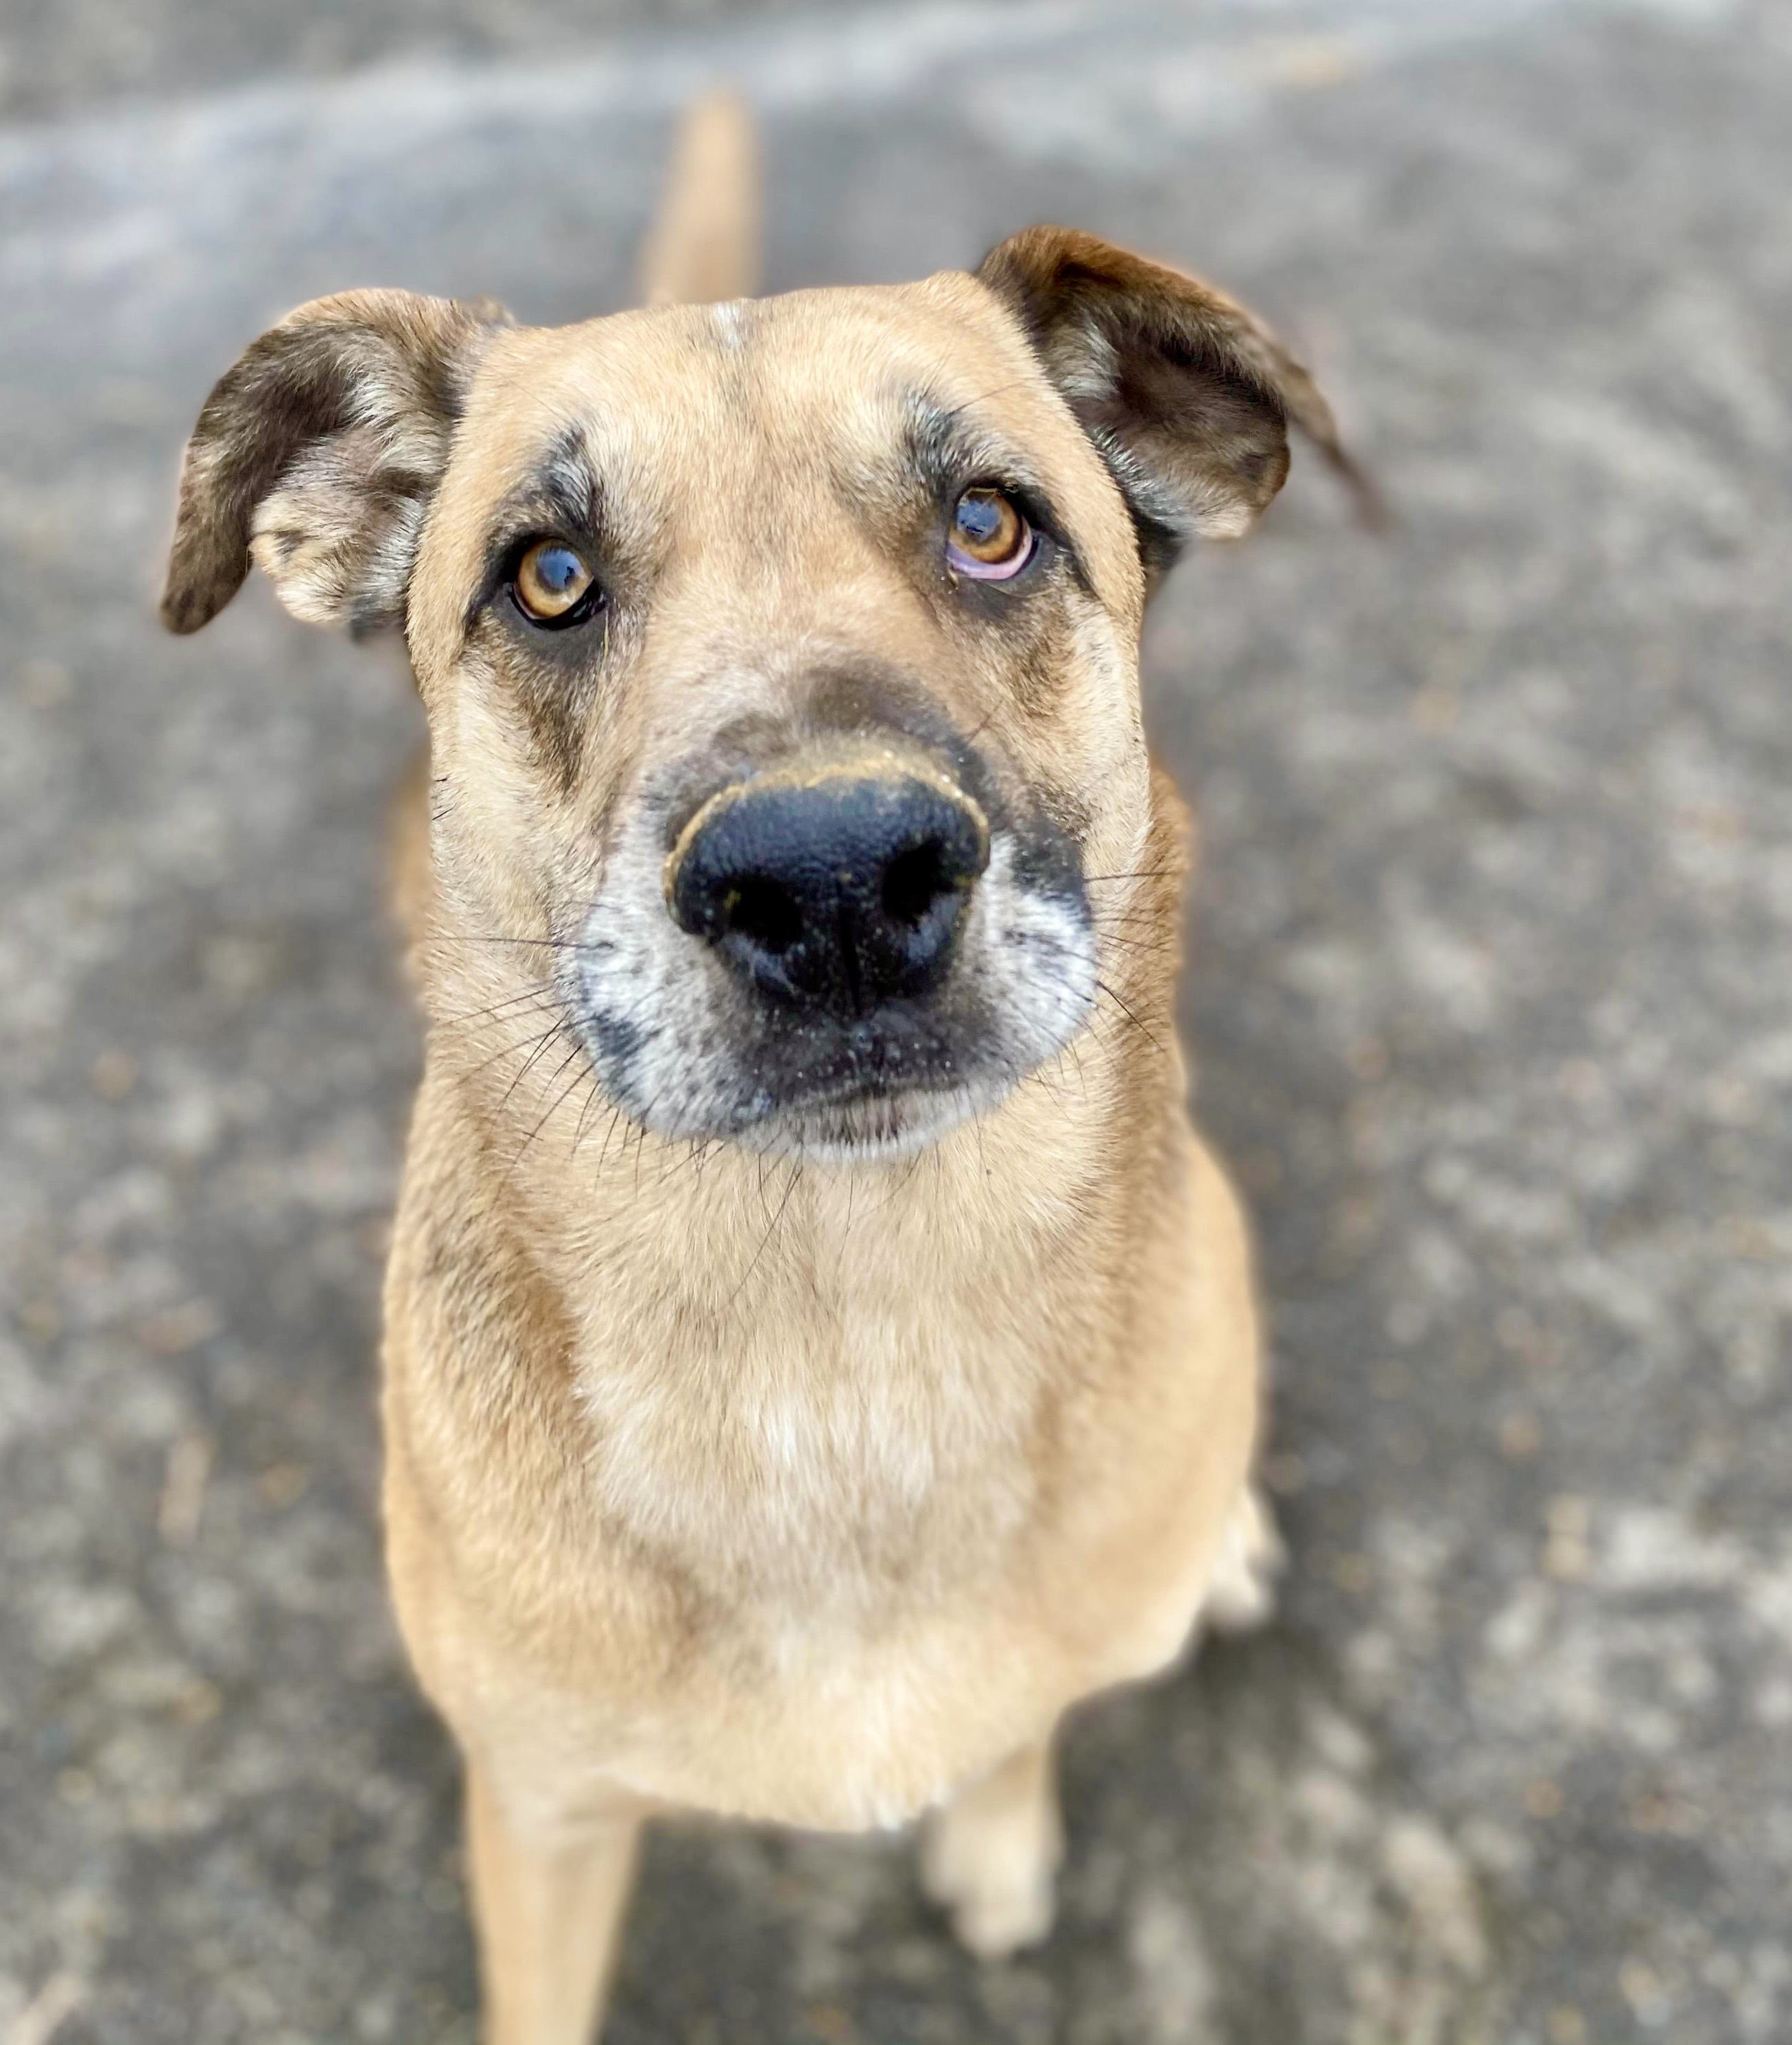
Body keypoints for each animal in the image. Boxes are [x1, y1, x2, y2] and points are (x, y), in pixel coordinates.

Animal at [160, 92, 1356, 2045]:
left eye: (990, 523)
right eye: (548, 576)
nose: (835, 881)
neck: (839, 1324)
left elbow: (1022, 1714)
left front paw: (997, 1832)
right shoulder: (542, 1811)